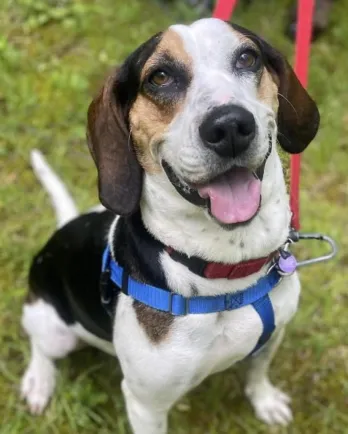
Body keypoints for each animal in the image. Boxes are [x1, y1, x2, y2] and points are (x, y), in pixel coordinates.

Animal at [20, 18, 320, 432]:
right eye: (159, 77)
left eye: (247, 57)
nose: (229, 126)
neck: (229, 270)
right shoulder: (146, 403)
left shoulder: (272, 335)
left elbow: (257, 371)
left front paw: (265, 400)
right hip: (52, 327)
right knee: (40, 345)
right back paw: (39, 380)